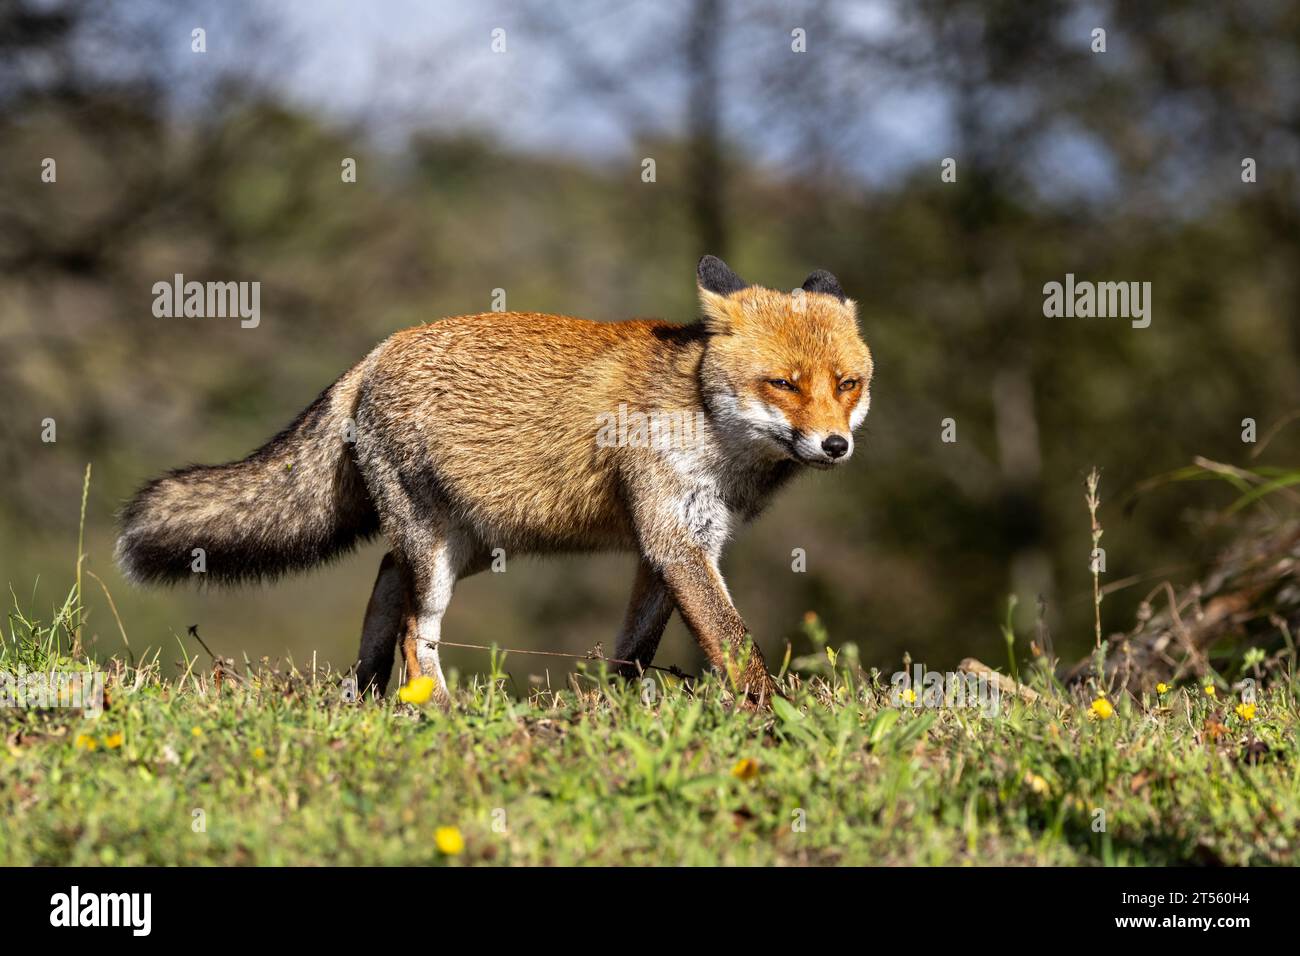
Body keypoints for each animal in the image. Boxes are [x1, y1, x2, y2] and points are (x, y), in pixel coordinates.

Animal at [116, 256, 873, 707]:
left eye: (847, 384)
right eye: (783, 384)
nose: (836, 445)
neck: (702, 417)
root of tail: (375, 353)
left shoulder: (681, 547)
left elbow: (636, 651)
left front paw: (611, 713)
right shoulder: (673, 541)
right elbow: (737, 646)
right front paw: (774, 720)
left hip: (468, 546)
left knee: (385, 582)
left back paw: (368, 695)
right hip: (439, 553)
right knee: (414, 629)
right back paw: (435, 712)